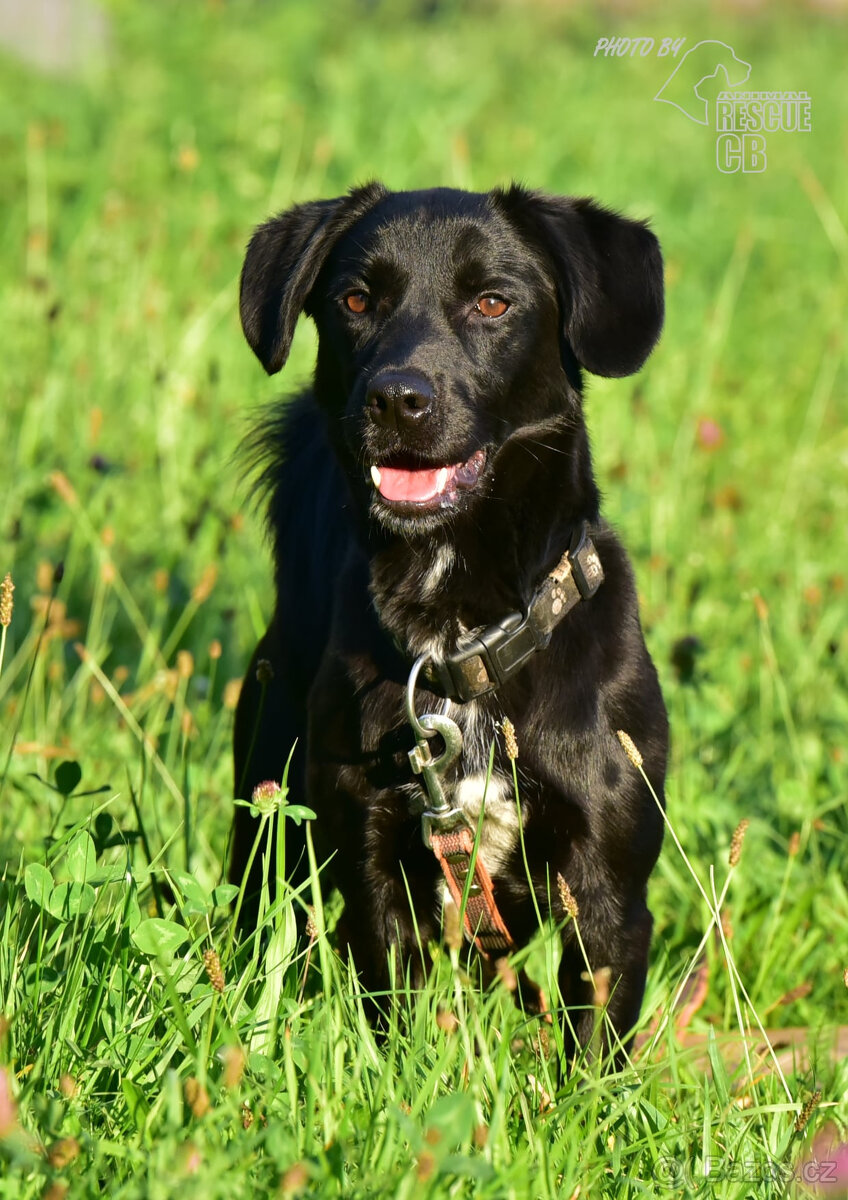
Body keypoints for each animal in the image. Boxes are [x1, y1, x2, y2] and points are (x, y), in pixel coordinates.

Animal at [232, 182, 671, 1056]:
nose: (398, 398)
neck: (461, 635)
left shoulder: (609, 897)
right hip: (266, 802)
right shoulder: (373, 864)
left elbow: (593, 1048)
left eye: (493, 301)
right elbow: (394, 1013)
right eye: (355, 299)